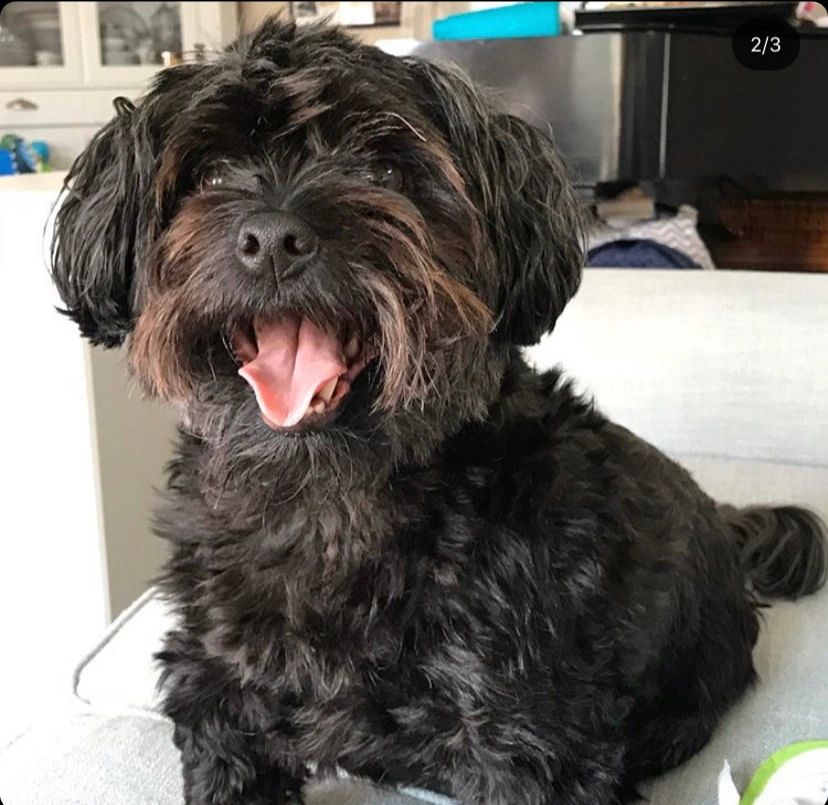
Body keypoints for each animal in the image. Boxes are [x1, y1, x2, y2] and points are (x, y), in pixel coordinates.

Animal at [50, 18, 826, 805]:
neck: (329, 503)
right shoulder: (217, 689)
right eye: (209, 175)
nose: (271, 239)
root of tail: (729, 520)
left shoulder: (529, 736)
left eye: (386, 173)